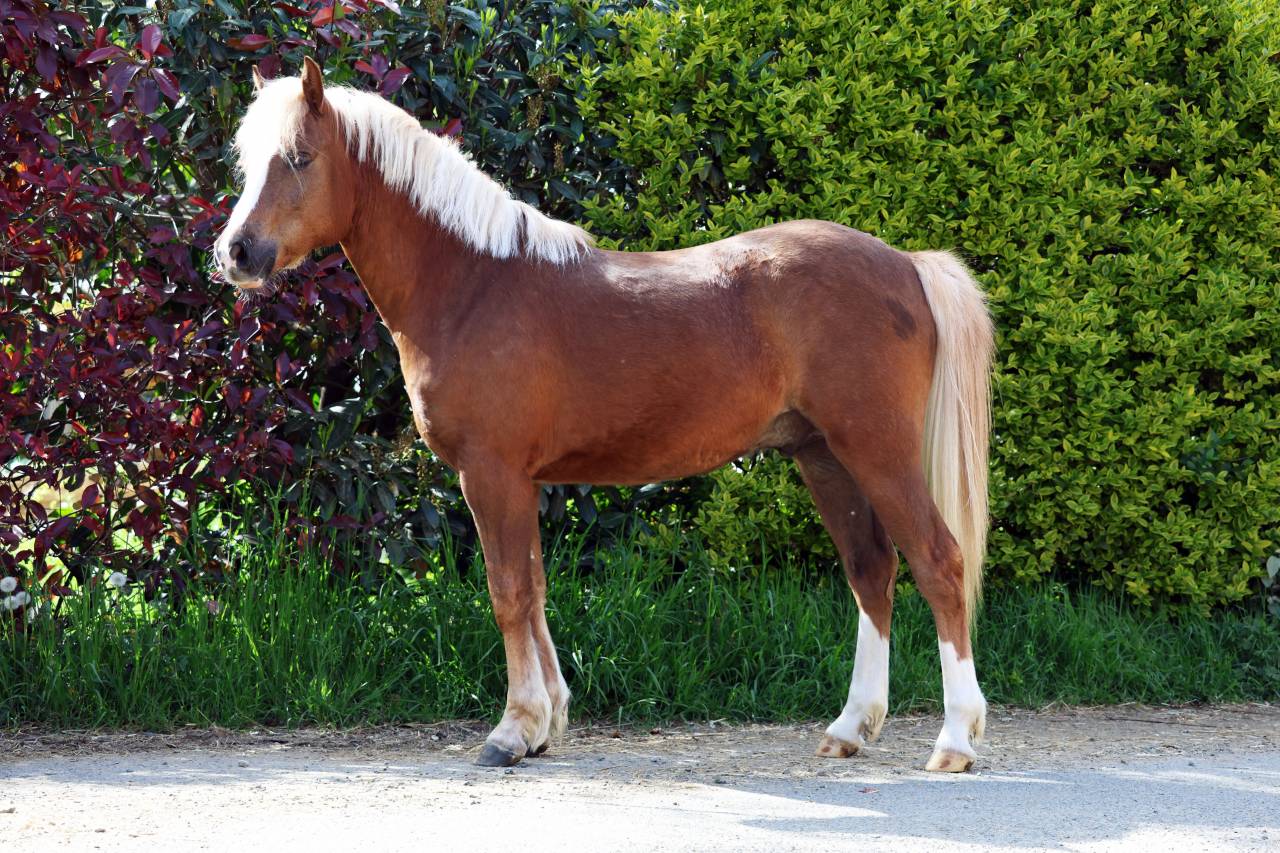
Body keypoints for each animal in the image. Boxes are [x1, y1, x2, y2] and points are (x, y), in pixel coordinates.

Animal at [214, 58, 995, 772]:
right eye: (247, 160)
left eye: (299, 157)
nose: (236, 252)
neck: (473, 283)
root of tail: (906, 264)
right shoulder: (520, 480)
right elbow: (534, 590)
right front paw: (546, 723)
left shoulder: (490, 474)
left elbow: (508, 592)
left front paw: (513, 730)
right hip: (823, 454)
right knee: (871, 569)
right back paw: (851, 726)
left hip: (877, 450)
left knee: (939, 562)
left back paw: (955, 738)